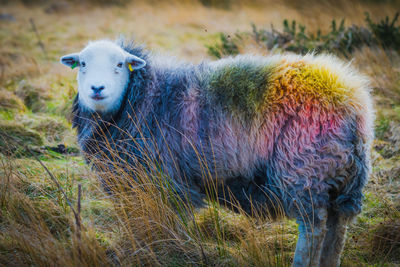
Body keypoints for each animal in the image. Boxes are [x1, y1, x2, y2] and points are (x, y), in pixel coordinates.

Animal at [60, 38, 376, 267]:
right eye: (82, 64)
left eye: (120, 64)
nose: (96, 88)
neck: (141, 99)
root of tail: (352, 103)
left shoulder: (164, 182)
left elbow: (165, 223)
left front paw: (166, 249)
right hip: (340, 176)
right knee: (337, 227)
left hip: (304, 170)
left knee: (314, 227)